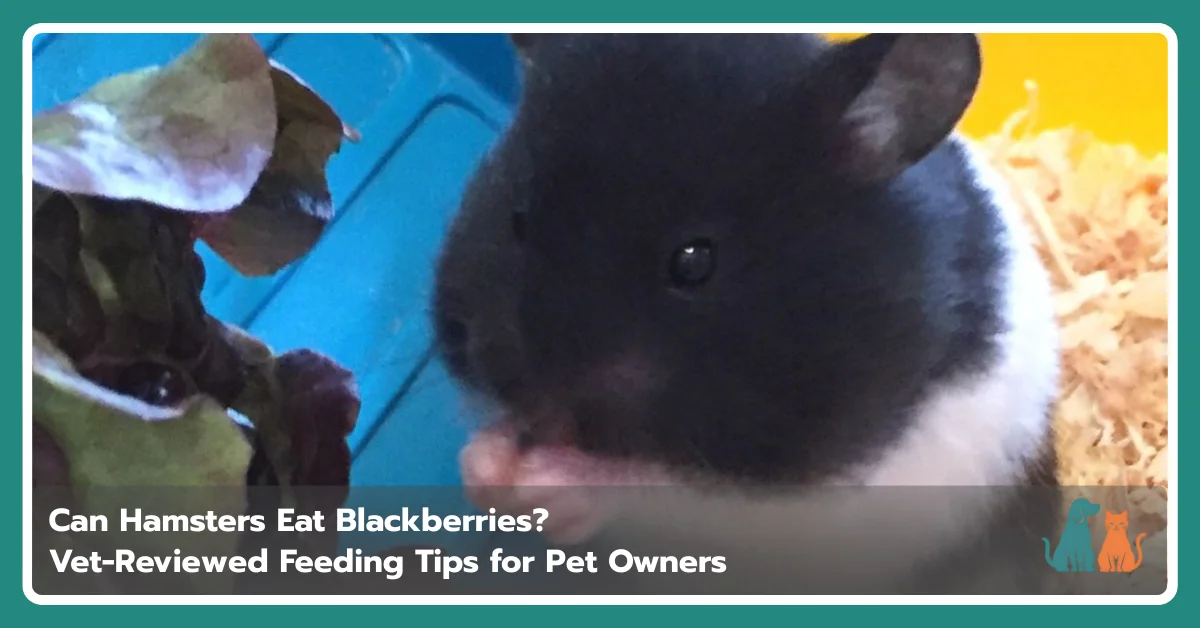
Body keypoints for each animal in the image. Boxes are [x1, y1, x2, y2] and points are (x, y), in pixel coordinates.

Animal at [432, 33, 1062, 594]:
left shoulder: (808, 494)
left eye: (694, 261)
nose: (539, 406)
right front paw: (487, 468)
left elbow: (660, 485)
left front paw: (540, 484)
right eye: (518, 221)